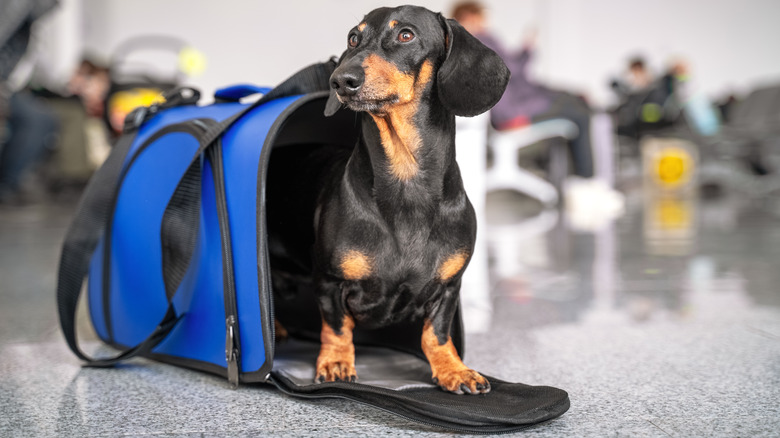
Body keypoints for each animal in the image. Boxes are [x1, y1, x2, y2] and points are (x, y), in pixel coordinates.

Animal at [270, 4, 512, 394]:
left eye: (406, 35)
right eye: (354, 37)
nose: (341, 80)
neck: (405, 178)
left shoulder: (448, 288)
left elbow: (436, 334)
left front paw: (453, 369)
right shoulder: (329, 281)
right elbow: (337, 328)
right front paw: (336, 363)